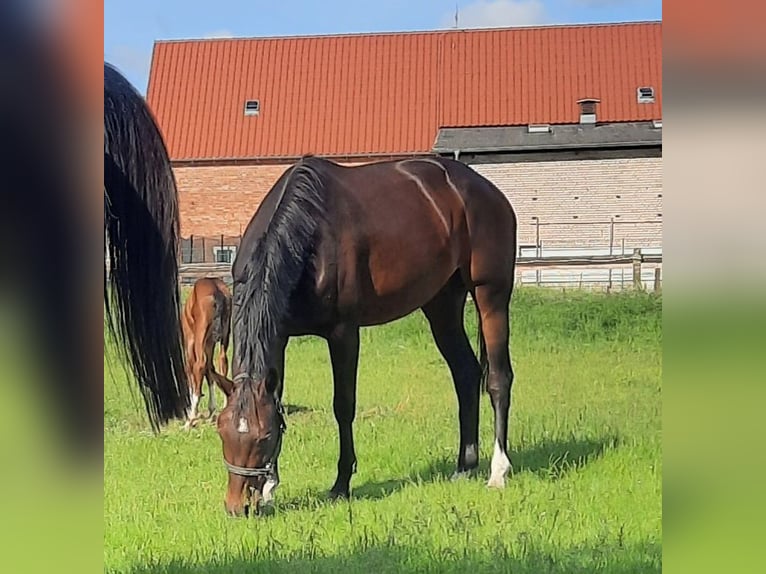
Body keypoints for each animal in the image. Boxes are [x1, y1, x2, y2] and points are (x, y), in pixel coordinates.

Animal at [181, 277, 233, 428]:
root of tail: (216, 290)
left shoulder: (191, 341)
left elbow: (198, 368)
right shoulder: (210, 343)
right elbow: (211, 370)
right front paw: (212, 411)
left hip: (200, 336)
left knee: (200, 364)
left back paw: (190, 419)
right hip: (225, 336)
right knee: (222, 361)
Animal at [215, 155, 517, 516]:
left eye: (262, 437)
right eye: (222, 430)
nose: (237, 506)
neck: (308, 233)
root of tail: (488, 191)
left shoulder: (343, 333)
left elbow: (343, 406)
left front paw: (341, 483)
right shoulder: (281, 334)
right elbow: (277, 398)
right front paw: (271, 487)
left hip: (491, 295)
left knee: (498, 379)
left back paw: (498, 471)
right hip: (442, 303)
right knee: (466, 374)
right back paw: (464, 465)